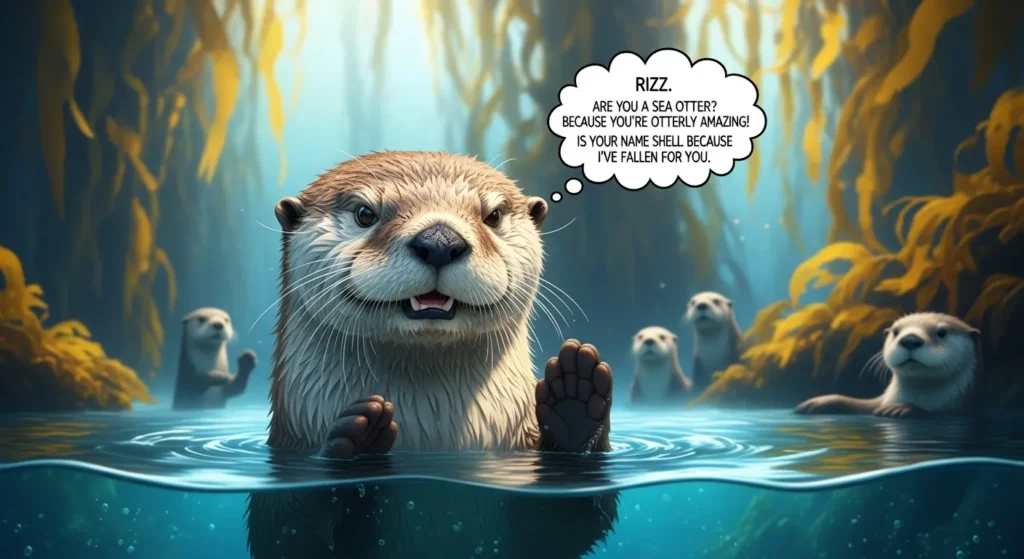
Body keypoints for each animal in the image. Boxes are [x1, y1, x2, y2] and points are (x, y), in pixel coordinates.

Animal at [246, 151, 617, 558]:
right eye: (365, 213)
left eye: (493, 216)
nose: (440, 241)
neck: (430, 435)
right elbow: (287, 530)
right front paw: (358, 436)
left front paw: (575, 398)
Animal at [794, 312, 983, 417]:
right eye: (896, 331)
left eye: (942, 332)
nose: (910, 339)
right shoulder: (881, 401)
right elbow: (859, 404)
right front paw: (819, 402)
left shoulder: (962, 407)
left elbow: (939, 414)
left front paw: (903, 408)